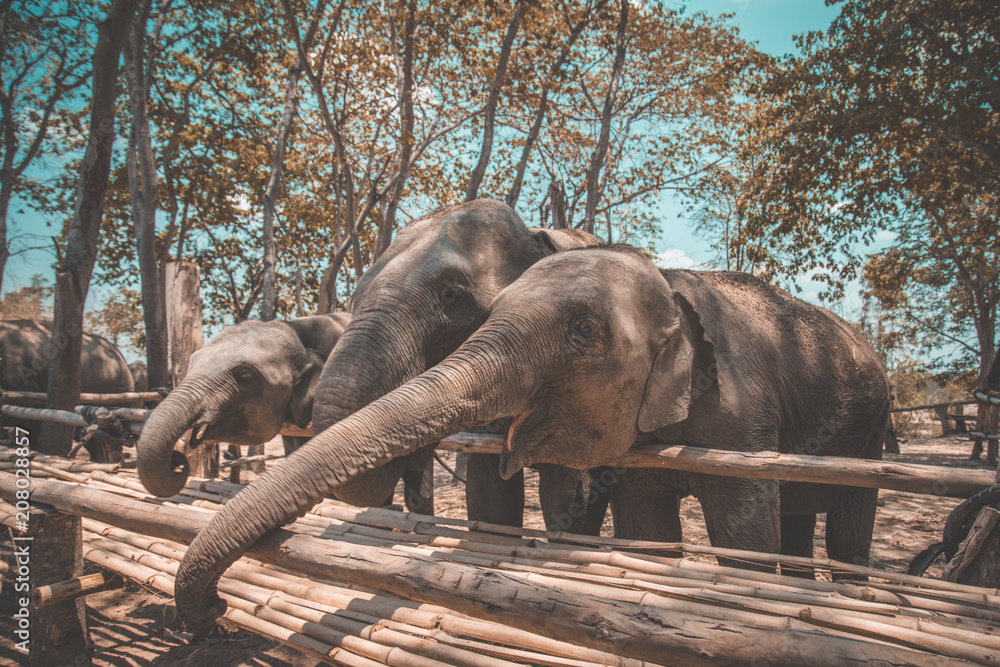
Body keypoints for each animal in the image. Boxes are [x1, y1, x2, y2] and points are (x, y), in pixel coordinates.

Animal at [172, 245, 891, 629]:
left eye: (582, 330)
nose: (213, 609)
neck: (670, 279)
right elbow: (647, 530)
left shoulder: (744, 416)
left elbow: (745, 534)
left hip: (873, 427)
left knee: (849, 524)